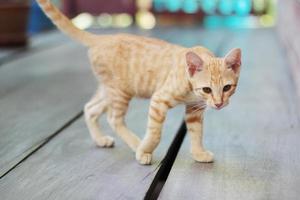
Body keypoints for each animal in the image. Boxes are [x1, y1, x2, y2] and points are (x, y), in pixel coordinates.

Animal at [37, 0, 241, 165]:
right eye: (207, 89)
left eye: (227, 88)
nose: (218, 103)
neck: (191, 89)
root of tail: (102, 38)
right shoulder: (159, 100)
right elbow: (155, 133)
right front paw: (145, 150)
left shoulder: (194, 110)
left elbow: (196, 133)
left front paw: (199, 153)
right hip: (120, 92)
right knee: (113, 118)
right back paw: (137, 144)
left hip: (109, 90)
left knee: (90, 108)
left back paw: (100, 139)